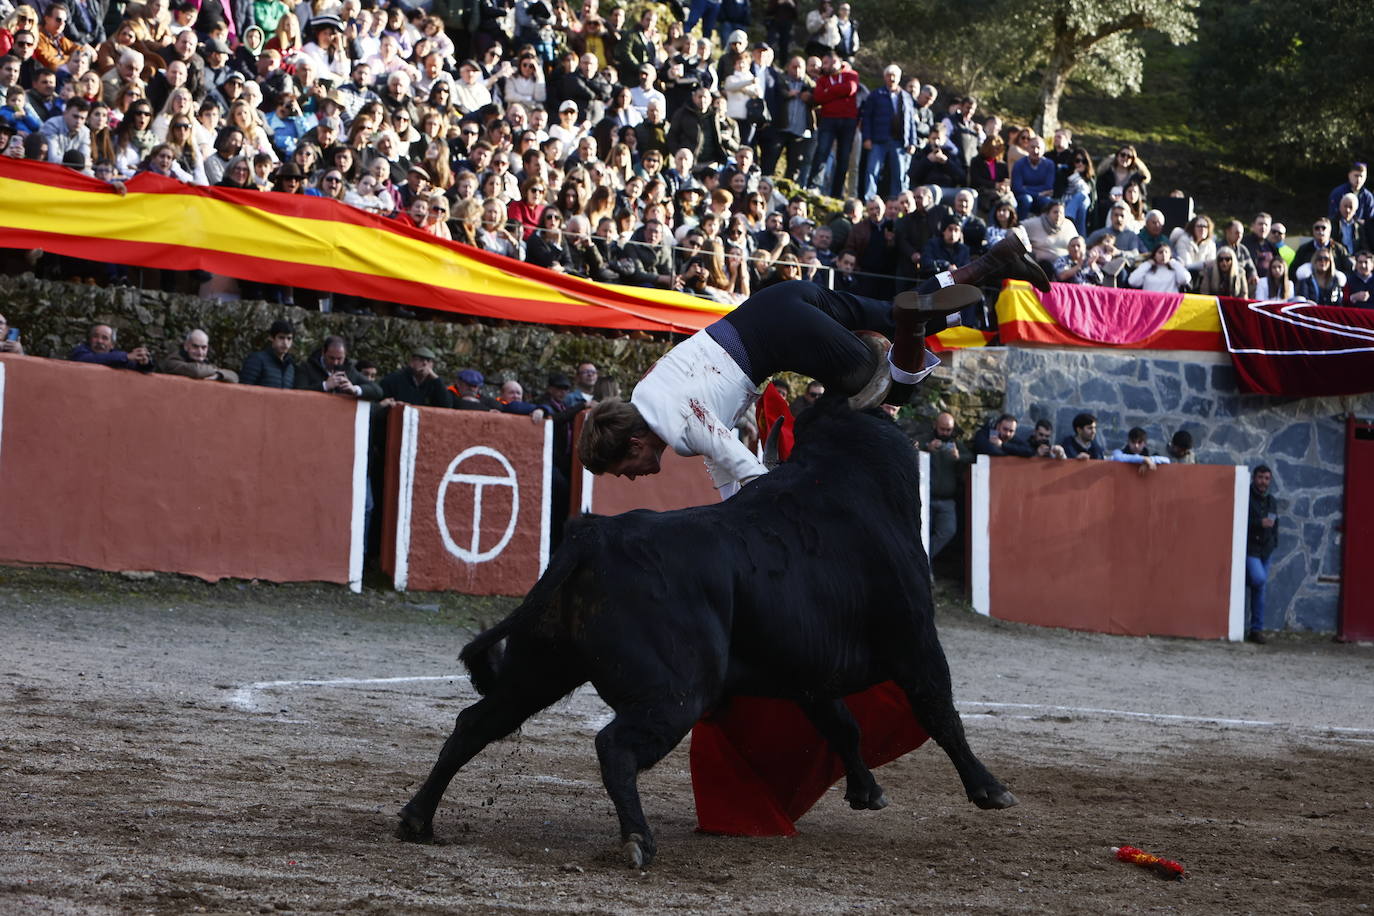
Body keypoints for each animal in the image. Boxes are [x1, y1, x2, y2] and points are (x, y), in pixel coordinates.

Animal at [392, 398, 1016, 867]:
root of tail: (591, 535)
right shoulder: (915, 641)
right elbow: (939, 712)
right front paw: (989, 790)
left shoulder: (808, 669)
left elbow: (843, 725)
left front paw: (865, 791)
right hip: (676, 692)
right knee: (613, 744)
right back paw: (638, 842)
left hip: (538, 669)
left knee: (474, 724)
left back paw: (417, 819)